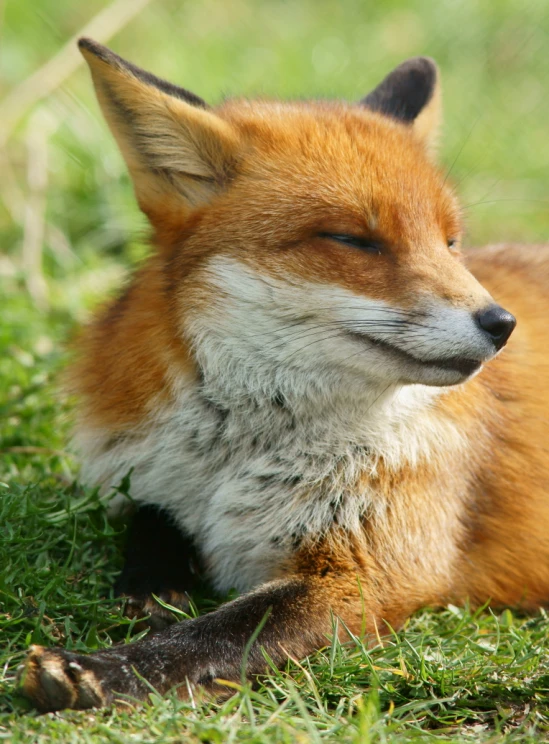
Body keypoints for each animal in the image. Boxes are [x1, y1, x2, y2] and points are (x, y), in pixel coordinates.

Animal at [19, 37, 548, 712]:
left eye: (450, 242)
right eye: (354, 240)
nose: (500, 323)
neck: (237, 456)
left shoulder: (365, 574)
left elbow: (216, 636)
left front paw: (102, 669)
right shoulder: (142, 479)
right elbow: (154, 525)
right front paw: (154, 588)